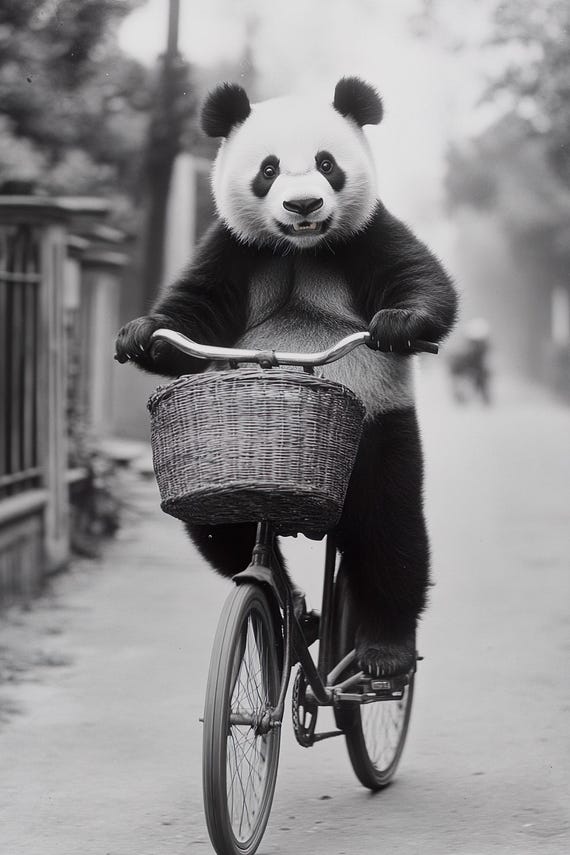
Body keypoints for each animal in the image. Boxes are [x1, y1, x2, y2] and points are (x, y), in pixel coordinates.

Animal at [115, 77, 458, 677]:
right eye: (269, 169)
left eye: (327, 163)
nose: (303, 205)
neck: (302, 247)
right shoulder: (235, 248)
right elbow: (194, 310)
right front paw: (142, 334)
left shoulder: (367, 234)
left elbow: (421, 278)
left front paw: (401, 324)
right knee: (223, 534)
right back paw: (295, 608)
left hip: (378, 433)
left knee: (390, 532)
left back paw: (385, 650)